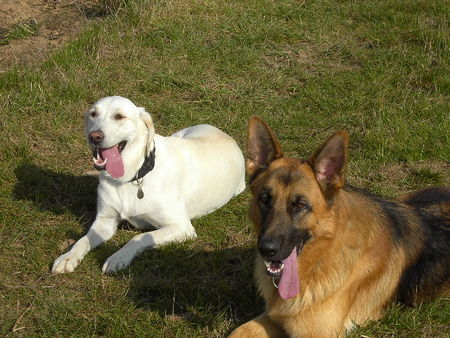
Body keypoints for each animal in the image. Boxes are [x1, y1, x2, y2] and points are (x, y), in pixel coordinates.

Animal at [52, 96, 246, 274]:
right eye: (93, 114)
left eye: (119, 116)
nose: (94, 136)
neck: (130, 177)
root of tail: (225, 134)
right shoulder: (104, 221)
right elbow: (83, 239)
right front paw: (68, 257)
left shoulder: (181, 227)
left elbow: (142, 237)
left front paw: (118, 257)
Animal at [230, 115, 448, 336]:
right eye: (264, 199)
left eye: (300, 205)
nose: (266, 249)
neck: (321, 258)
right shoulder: (272, 317)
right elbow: (237, 332)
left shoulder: (314, 332)